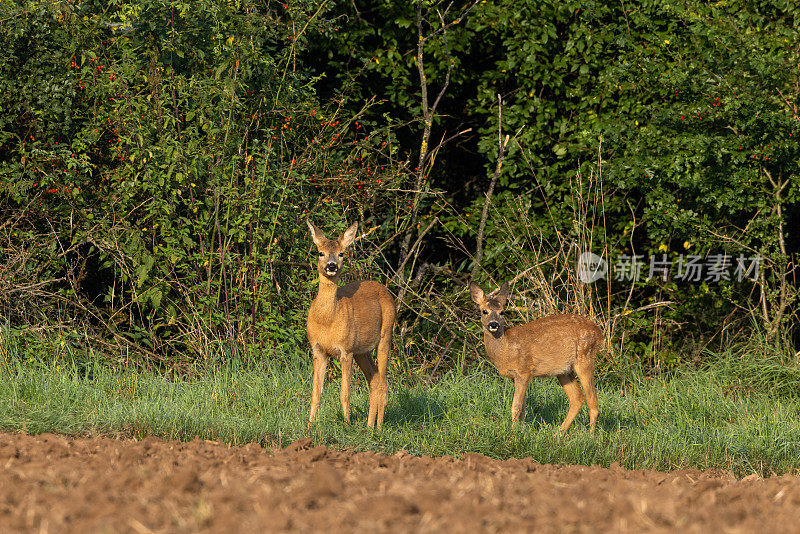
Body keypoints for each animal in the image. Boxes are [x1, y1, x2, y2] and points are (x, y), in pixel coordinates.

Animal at [304, 222, 396, 432]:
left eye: (341, 253)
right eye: (320, 252)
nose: (332, 266)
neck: (327, 320)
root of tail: (385, 289)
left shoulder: (345, 350)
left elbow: (345, 393)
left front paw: (347, 425)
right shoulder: (318, 350)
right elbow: (315, 393)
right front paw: (309, 425)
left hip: (386, 334)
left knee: (383, 382)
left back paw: (378, 428)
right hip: (362, 350)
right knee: (374, 379)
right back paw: (369, 426)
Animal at [466, 282, 604, 434]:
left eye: (502, 312)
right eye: (484, 311)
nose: (494, 324)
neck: (506, 348)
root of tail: (599, 333)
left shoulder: (524, 371)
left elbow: (516, 406)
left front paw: (513, 433)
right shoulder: (517, 376)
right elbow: (523, 407)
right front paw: (521, 430)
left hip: (585, 358)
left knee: (593, 401)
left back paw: (590, 435)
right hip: (564, 371)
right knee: (577, 398)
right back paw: (559, 432)